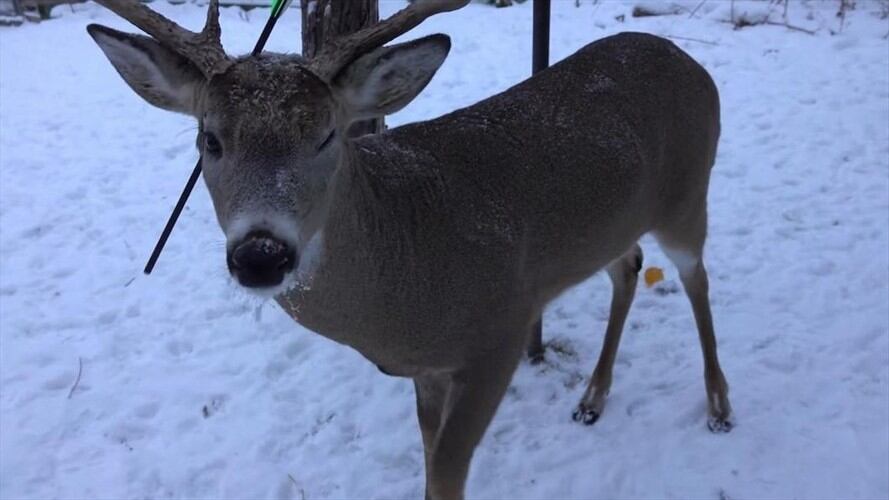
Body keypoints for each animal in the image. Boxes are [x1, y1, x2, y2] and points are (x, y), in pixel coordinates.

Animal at [86, 0, 733, 497]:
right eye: (209, 139)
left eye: (327, 135)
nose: (261, 254)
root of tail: (690, 60)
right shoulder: (427, 369)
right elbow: (426, 457)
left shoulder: (501, 328)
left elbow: (446, 474)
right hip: (616, 224)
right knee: (629, 267)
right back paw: (592, 398)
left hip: (688, 193)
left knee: (696, 277)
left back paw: (719, 407)